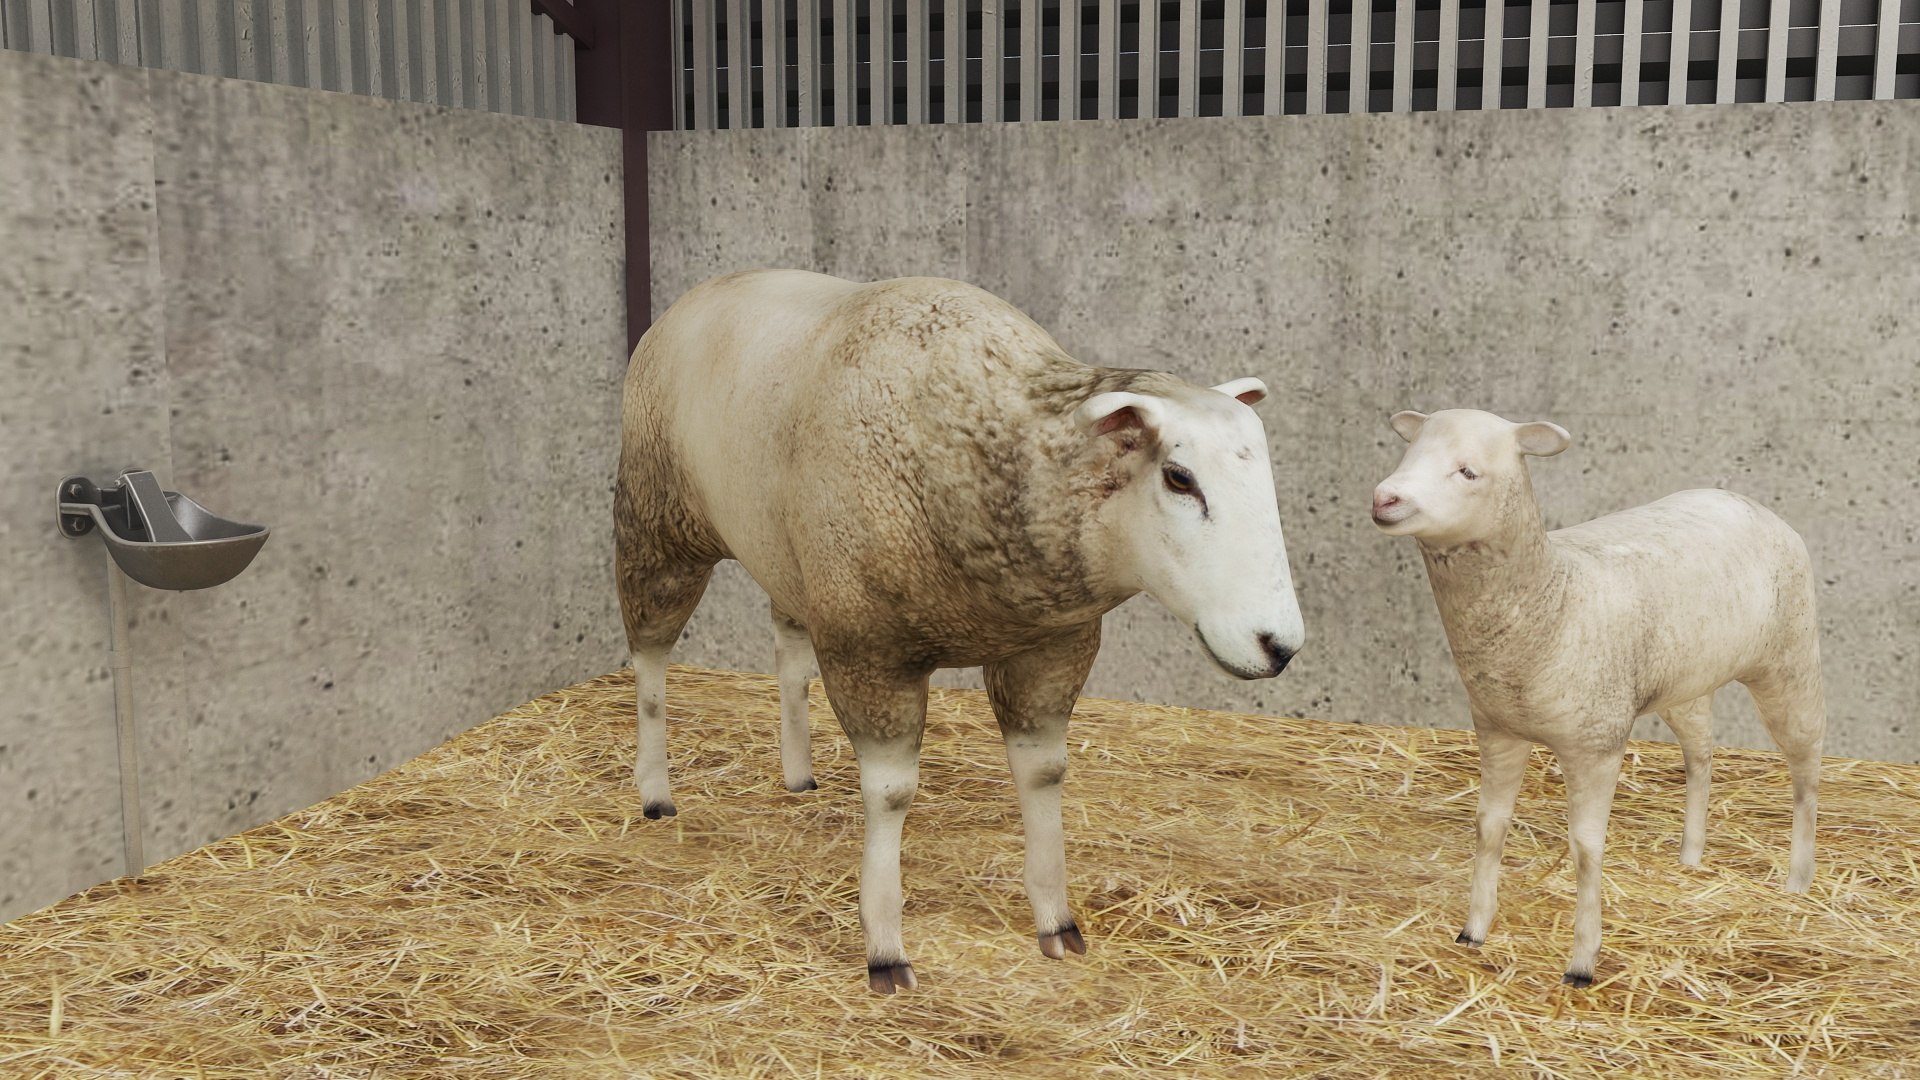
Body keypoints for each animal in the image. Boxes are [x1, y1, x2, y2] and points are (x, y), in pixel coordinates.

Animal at [614, 269, 1307, 994]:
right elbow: (891, 794)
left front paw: (1056, 920)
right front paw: (885, 947)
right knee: (650, 656)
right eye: (1178, 477)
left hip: (793, 564)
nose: (1280, 646)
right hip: (656, 519)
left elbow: (1044, 775)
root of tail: (709, 287)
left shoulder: (1050, 648)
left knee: (787, 648)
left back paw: (798, 775)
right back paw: (656, 790)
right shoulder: (870, 649)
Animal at [1370, 408, 1825, 988]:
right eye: (1408, 453)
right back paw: (1691, 854)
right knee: (1701, 754)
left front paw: (1582, 962)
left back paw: (1798, 880)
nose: (1385, 498)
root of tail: (1747, 501)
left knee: (1805, 763)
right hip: (1686, 681)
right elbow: (1488, 828)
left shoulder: (1596, 742)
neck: (1552, 596)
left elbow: (1586, 849)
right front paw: (1473, 930)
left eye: (1468, 471)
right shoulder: (1497, 728)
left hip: (1789, 657)